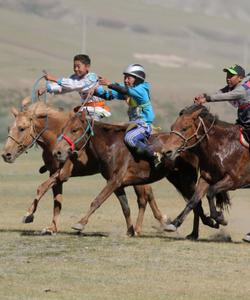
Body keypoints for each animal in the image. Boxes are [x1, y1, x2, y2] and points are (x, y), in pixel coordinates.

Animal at [0, 102, 168, 236]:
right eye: (9, 128)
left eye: (22, 128)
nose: (6, 154)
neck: (54, 139)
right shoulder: (55, 173)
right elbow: (55, 199)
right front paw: (50, 227)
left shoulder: (63, 173)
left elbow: (44, 189)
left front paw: (29, 215)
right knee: (148, 195)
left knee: (144, 197)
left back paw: (149, 225)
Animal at [52, 108, 230, 239]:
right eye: (63, 128)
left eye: (75, 129)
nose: (58, 152)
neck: (111, 146)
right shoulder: (117, 184)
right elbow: (125, 208)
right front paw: (130, 230)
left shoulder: (114, 180)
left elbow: (97, 200)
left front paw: (80, 223)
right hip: (176, 179)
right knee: (194, 202)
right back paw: (196, 230)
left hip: (187, 179)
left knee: (195, 201)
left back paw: (201, 228)